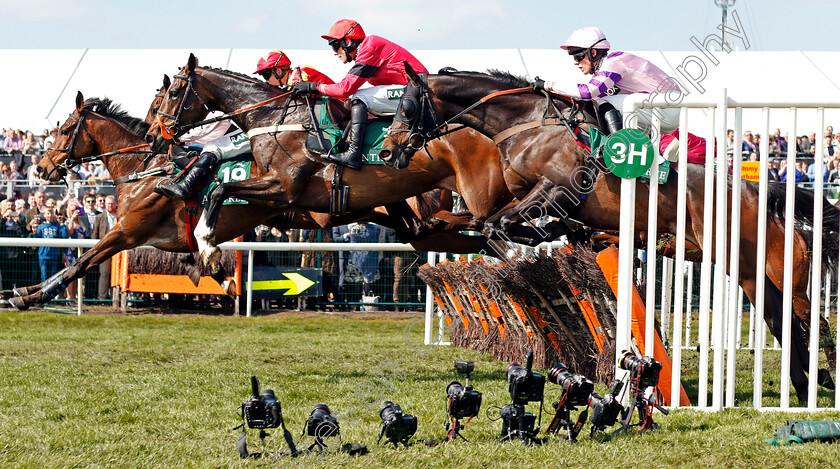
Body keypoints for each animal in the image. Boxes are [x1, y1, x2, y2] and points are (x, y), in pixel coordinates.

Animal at [144, 54, 512, 272]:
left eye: (172, 94)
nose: (154, 136)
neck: (273, 117)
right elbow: (221, 185)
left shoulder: (285, 187)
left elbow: (221, 189)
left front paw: (207, 246)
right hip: (423, 226)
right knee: (465, 235)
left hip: (478, 198)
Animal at [380, 66, 840, 402]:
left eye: (406, 106)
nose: (387, 152)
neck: (526, 126)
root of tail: (757, 190)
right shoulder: (530, 197)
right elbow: (499, 225)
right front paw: (543, 245)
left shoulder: (557, 189)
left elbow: (503, 224)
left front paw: (538, 242)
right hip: (751, 271)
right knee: (783, 319)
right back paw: (805, 386)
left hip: (754, 265)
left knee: (802, 318)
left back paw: (820, 382)